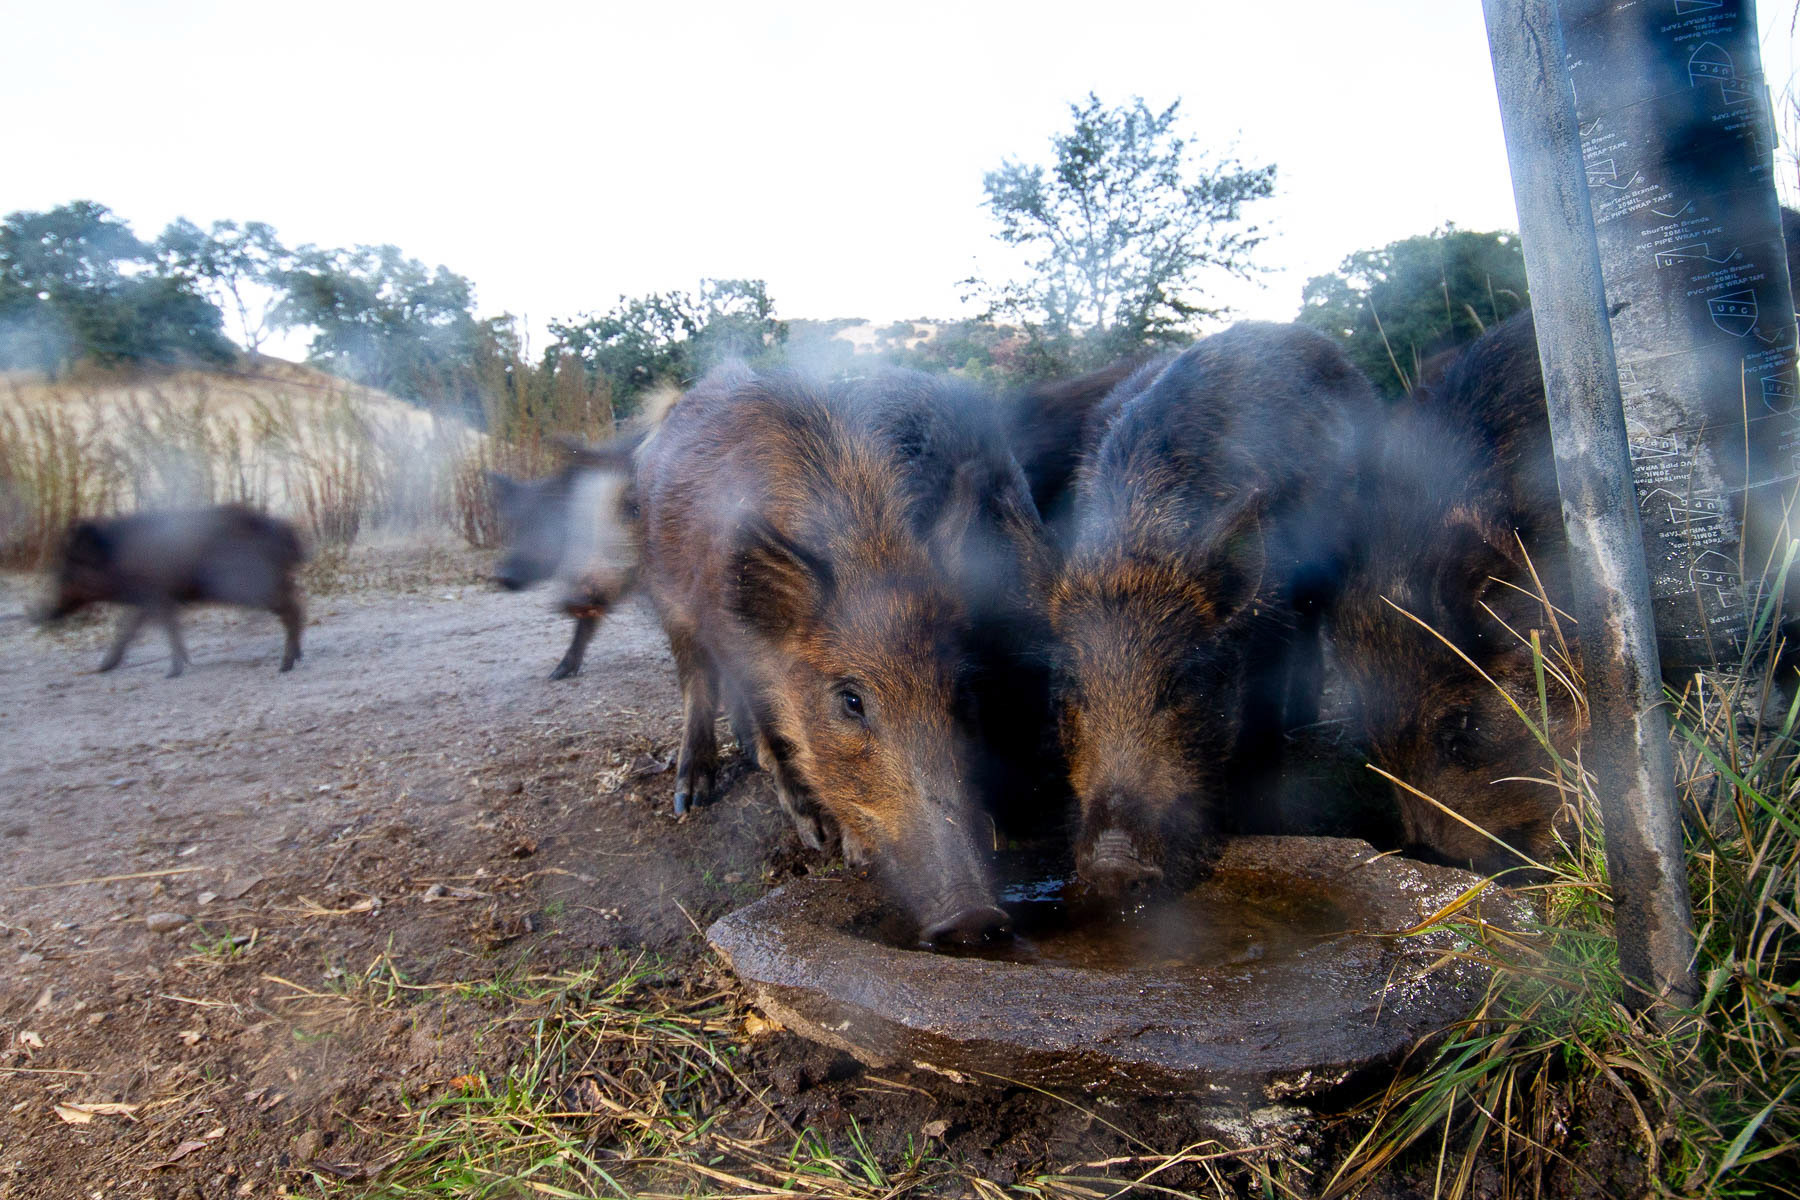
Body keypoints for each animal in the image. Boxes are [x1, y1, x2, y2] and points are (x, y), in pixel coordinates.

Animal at [37, 505, 306, 677]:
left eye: (70, 571)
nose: (38, 614)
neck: (114, 559)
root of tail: (287, 534)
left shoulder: (154, 595)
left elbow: (157, 628)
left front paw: (172, 672)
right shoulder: (155, 599)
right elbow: (135, 629)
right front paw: (104, 668)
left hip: (255, 586)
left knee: (292, 609)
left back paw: (285, 666)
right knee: (296, 605)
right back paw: (297, 657)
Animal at [635, 362, 1016, 942]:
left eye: (962, 695)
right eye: (851, 701)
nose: (978, 917)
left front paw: (853, 851)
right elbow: (774, 734)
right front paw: (817, 837)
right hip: (667, 597)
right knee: (697, 682)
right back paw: (690, 798)